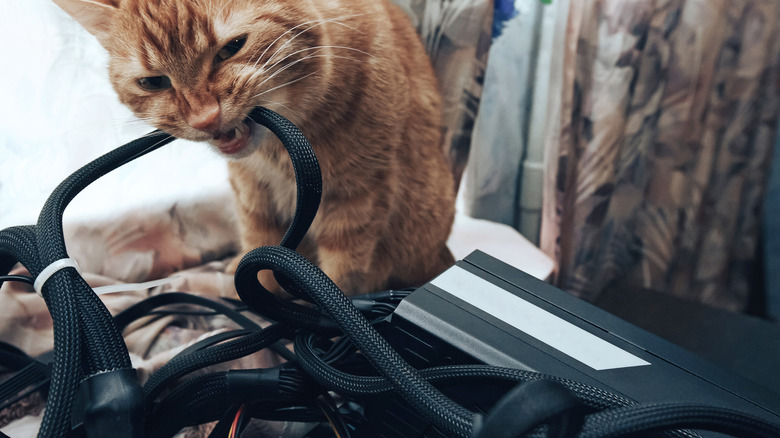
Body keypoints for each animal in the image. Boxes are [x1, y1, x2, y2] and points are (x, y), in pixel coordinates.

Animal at [53, 0, 458, 296]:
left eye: (231, 48)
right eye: (154, 82)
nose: (205, 118)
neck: (278, 155)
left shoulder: (359, 198)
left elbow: (341, 275)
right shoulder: (252, 192)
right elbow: (259, 244)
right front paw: (255, 293)